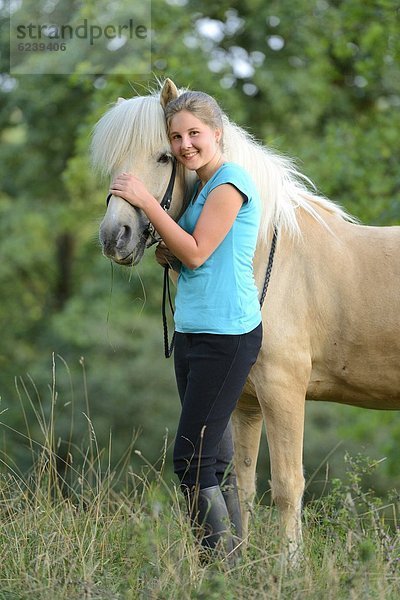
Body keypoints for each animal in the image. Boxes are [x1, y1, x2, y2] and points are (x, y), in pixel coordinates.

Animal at [91, 78, 400, 556]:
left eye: (165, 155)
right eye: (114, 162)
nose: (114, 236)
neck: (264, 255)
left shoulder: (283, 390)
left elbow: (287, 485)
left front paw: (289, 564)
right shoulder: (245, 401)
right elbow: (242, 486)